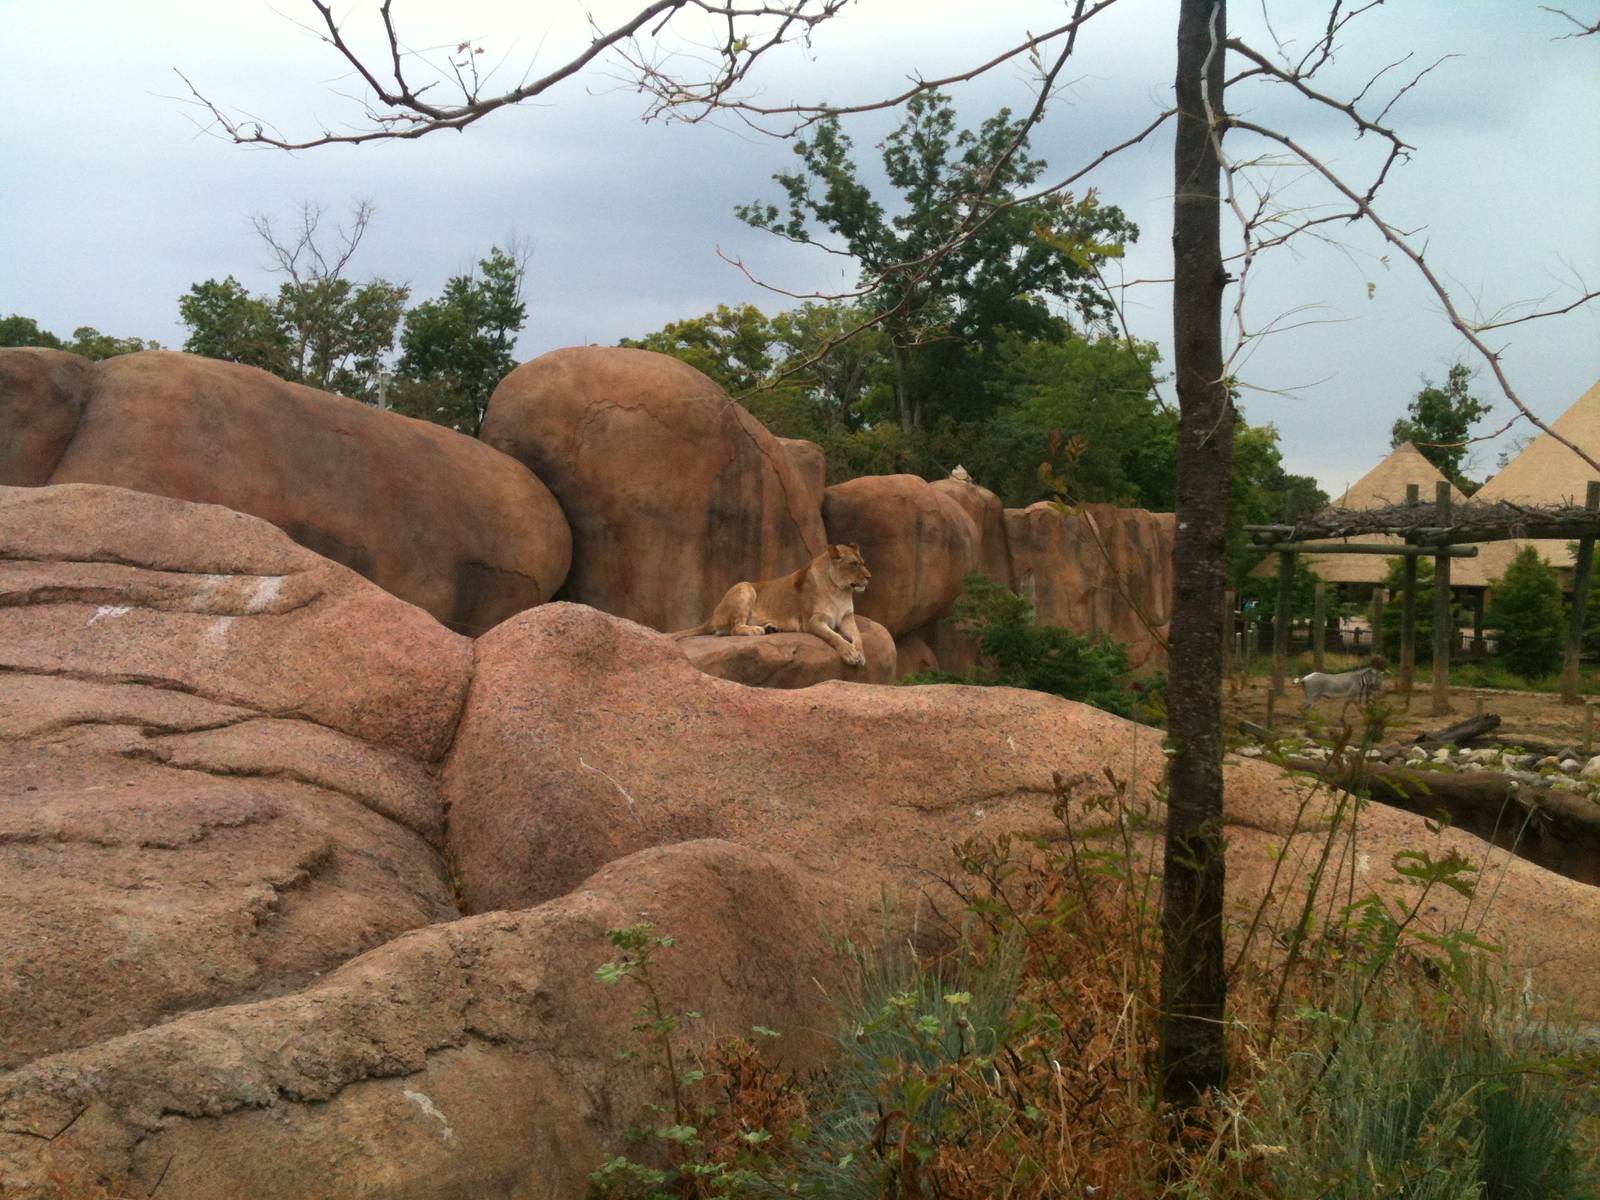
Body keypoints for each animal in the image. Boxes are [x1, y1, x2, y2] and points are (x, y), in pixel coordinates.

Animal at [671, 544, 873, 667]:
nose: (869, 577)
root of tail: (712, 615)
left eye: (863, 563)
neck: (840, 591)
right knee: (733, 628)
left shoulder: (847, 617)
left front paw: (860, 653)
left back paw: (771, 628)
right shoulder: (812, 621)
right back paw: (755, 630)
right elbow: (834, 637)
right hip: (744, 586)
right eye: (854, 564)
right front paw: (850, 654)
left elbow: (858, 637)